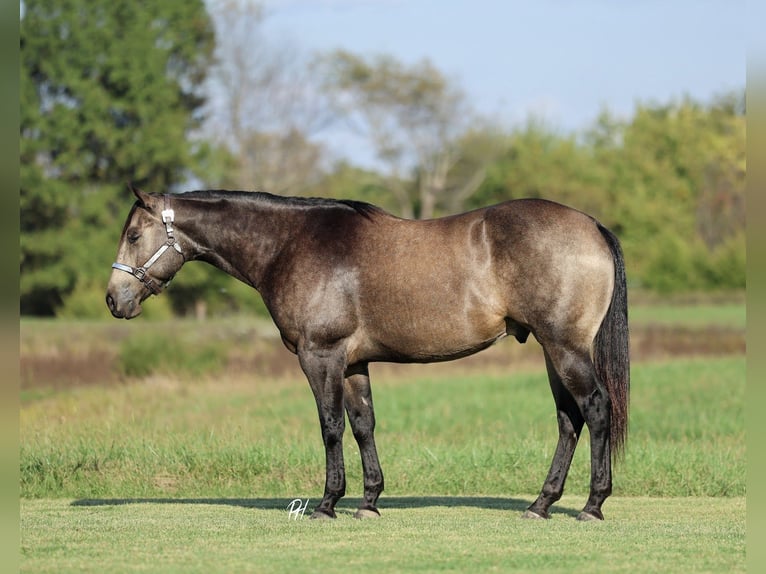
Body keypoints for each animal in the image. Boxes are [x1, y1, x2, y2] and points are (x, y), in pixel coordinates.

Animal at [106, 185, 629, 521]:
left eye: (133, 236)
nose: (115, 300)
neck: (290, 245)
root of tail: (592, 225)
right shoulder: (354, 363)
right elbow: (363, 425)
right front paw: (369, 501)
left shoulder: (321, 357)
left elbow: (330, 426)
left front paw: (327, 504)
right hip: (551, 350)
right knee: (569, 420)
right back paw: (541, 504)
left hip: (564, 347)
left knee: (595, 408)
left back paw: (592, 505)